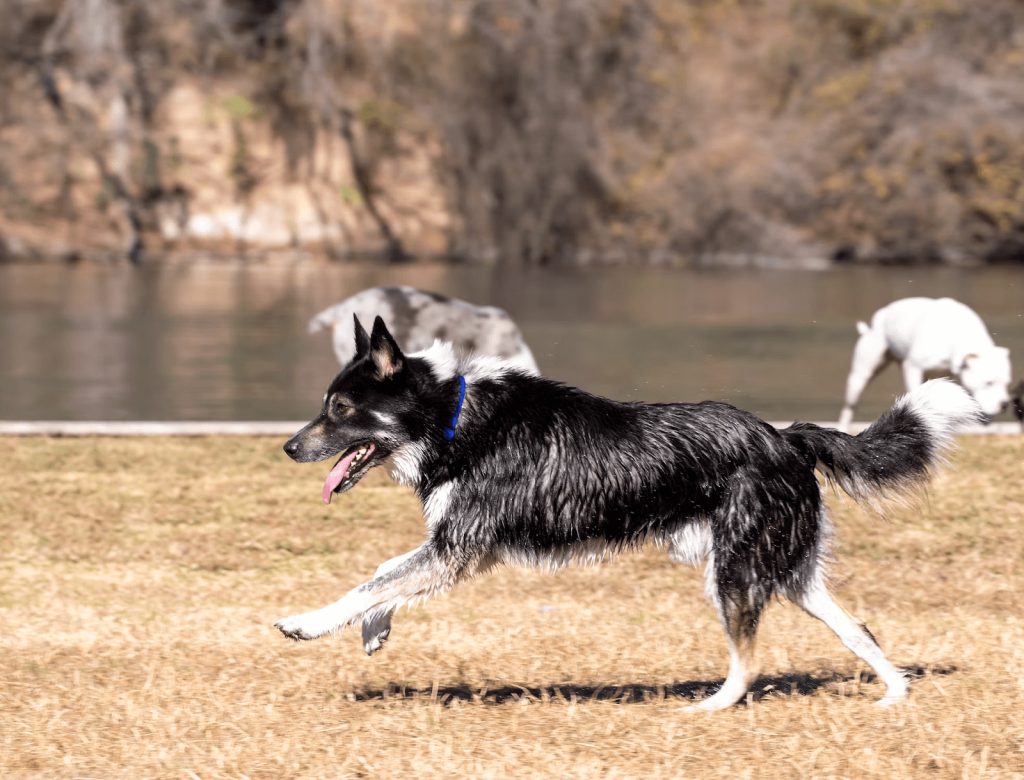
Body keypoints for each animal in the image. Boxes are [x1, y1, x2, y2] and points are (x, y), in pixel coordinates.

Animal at [276, 313, 978, 708]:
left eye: (340, 409)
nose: (288, 447)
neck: (451, 416)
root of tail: (786, 437)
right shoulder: (456, 547)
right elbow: (383, 574)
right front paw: (374, 629)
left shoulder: (460, 548)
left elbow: (371, 581)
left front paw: (309, 623)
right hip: (786, 569)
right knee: (858, 627)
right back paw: (894, 693)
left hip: (734, 572)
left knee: (749, 662)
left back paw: (706, 708)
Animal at [839, 296, 1007, 431]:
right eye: (988, 382)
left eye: (1007, 383)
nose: (1004, 404)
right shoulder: (913, 367)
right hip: (860, 377)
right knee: (849, 406)